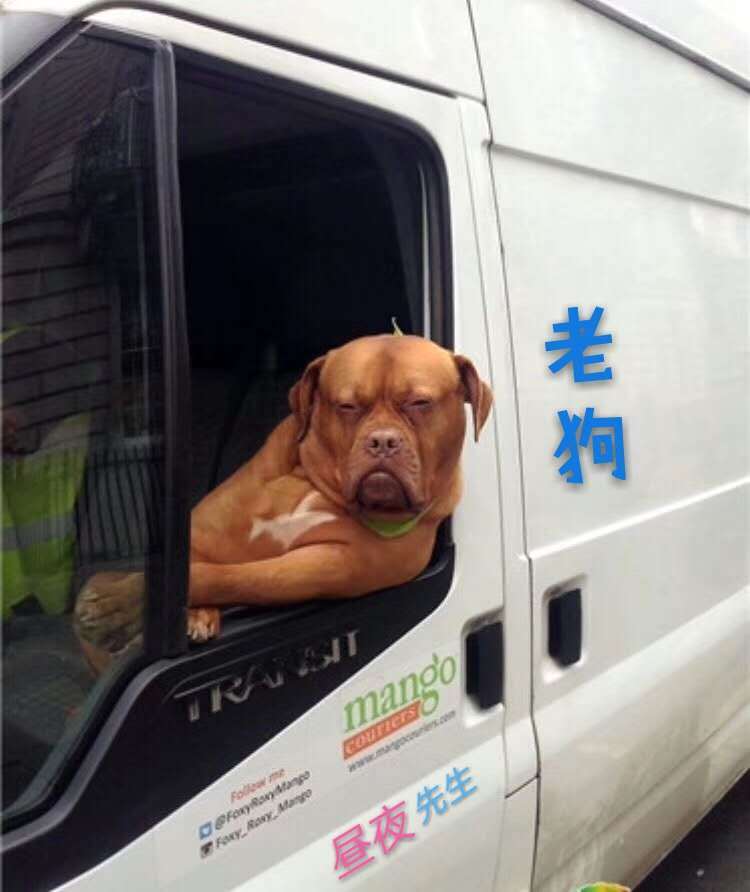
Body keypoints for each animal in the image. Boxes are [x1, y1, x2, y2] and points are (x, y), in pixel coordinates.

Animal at [74, 335, 492, 669]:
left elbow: (235, 577)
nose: (383, 441)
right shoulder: (203, 530)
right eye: (347, 406)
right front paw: (126, 605)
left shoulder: (334, 564)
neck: (315, 485)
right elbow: (184, 566)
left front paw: (125, 608)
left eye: (420, 403)